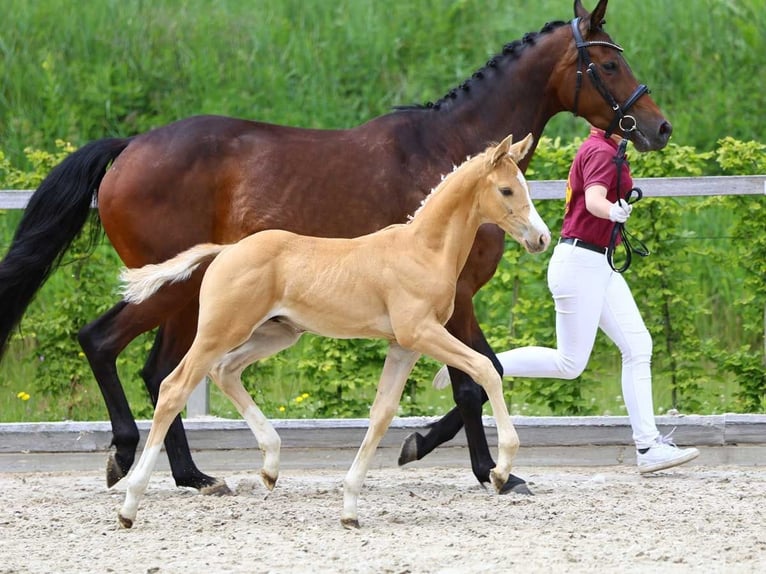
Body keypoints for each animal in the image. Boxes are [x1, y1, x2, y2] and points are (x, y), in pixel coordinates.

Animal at [117, 135, 548, 532]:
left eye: (524, 185)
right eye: (507, 189)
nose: (541, 238)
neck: (424, 250)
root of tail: (225, 251)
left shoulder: (403, 346)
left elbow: (381, 413)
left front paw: (350, 509)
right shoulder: (421, 333)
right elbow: (485, 369)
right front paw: (501, 472)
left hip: (276, 335)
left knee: (225, 371)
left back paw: (270, 466)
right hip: (218, 331)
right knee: (175, 387)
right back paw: (130, 505)